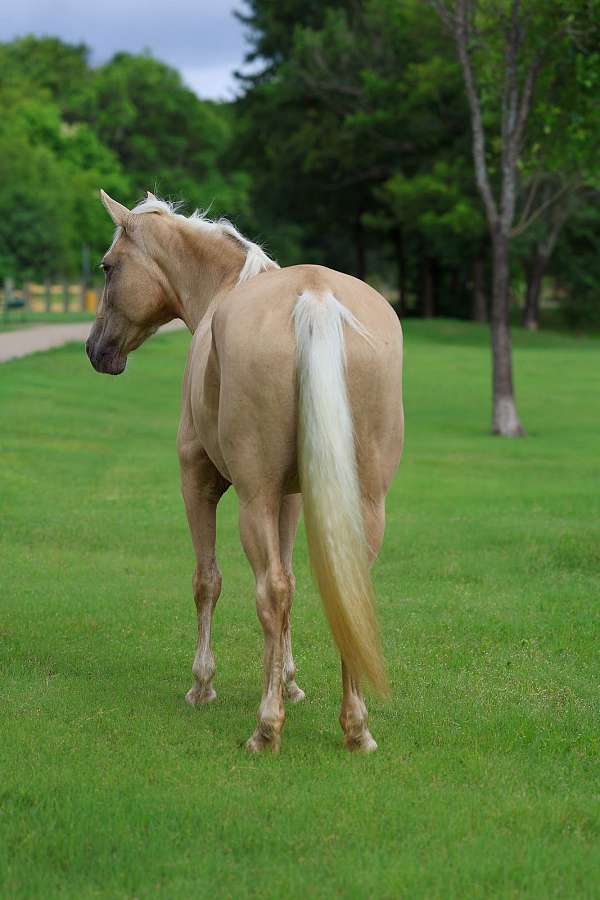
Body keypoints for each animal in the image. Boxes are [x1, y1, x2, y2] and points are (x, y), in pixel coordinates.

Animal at [86, 190, 404, 753]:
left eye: (108, 266)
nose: (95, 350)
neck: (225, 287)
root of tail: (315, 297)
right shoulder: (294, 497)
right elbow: (294, 582)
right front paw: (290, 681)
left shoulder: (200, 483)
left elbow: (208, 581)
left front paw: (203, 685)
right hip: (361, 502)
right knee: (345, 588)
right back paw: (356, 729)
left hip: (253, 499)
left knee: (268, 591)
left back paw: (266, 727)